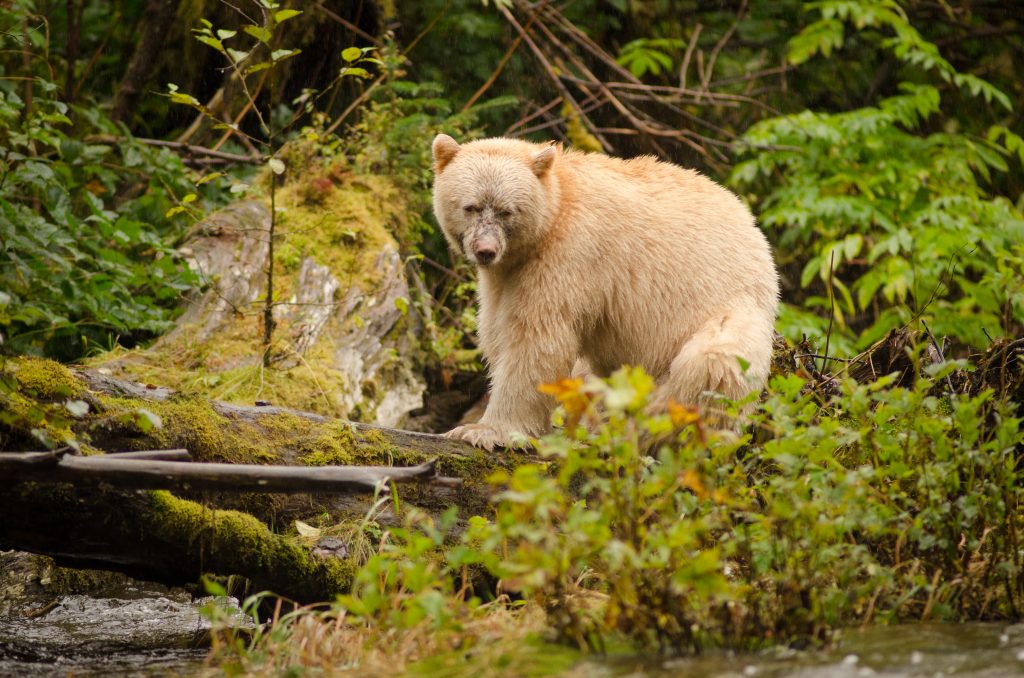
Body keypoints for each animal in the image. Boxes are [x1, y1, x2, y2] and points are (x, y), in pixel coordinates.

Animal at [431, 133, 778, 451]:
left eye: (506, 211)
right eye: (471, 207)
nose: (485, 251)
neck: (555, 208)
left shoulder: (571, 255)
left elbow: (536, 338)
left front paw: (484, 431)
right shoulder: (508, 273)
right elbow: (499, 329)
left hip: (731, 313)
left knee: (713, 364)